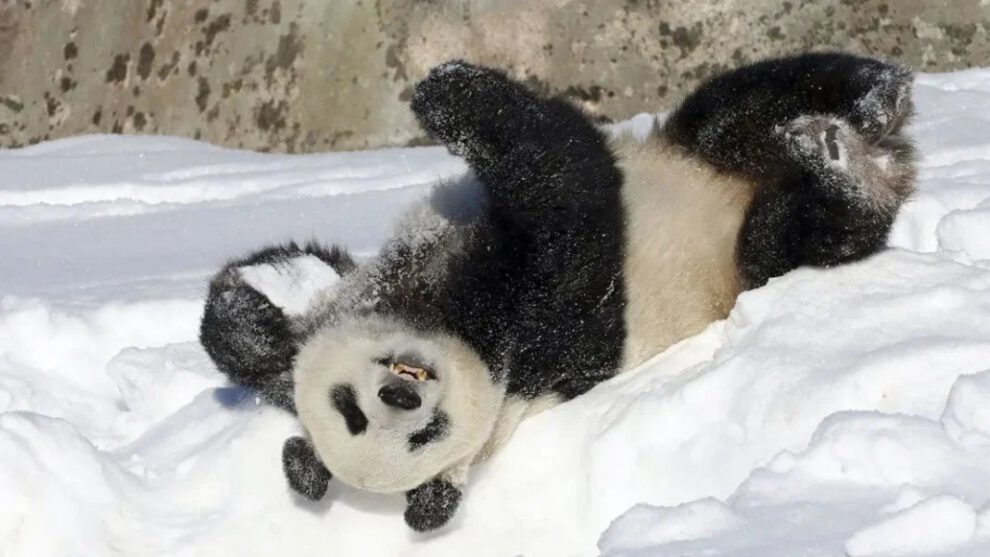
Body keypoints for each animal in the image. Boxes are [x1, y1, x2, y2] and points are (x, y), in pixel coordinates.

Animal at [199, 52, 916, 532]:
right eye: (423, 435)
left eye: (349, 408)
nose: (401, 394)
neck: (438, 311)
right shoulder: (546, 334)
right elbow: (567, 191)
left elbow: (258, 334)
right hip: (751, 253)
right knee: (804, 229)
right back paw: (843, 168)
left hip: (703, 151)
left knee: (747, 100)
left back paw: (870, 101)